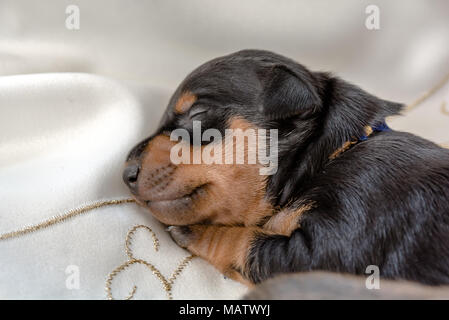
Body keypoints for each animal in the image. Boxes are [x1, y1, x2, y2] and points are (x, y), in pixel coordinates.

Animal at [121, 50, 448, 288]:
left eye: (198, 113)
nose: (125, 173)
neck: (331, 156)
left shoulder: (343, 237)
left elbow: (245, 242)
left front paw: (195, 231)